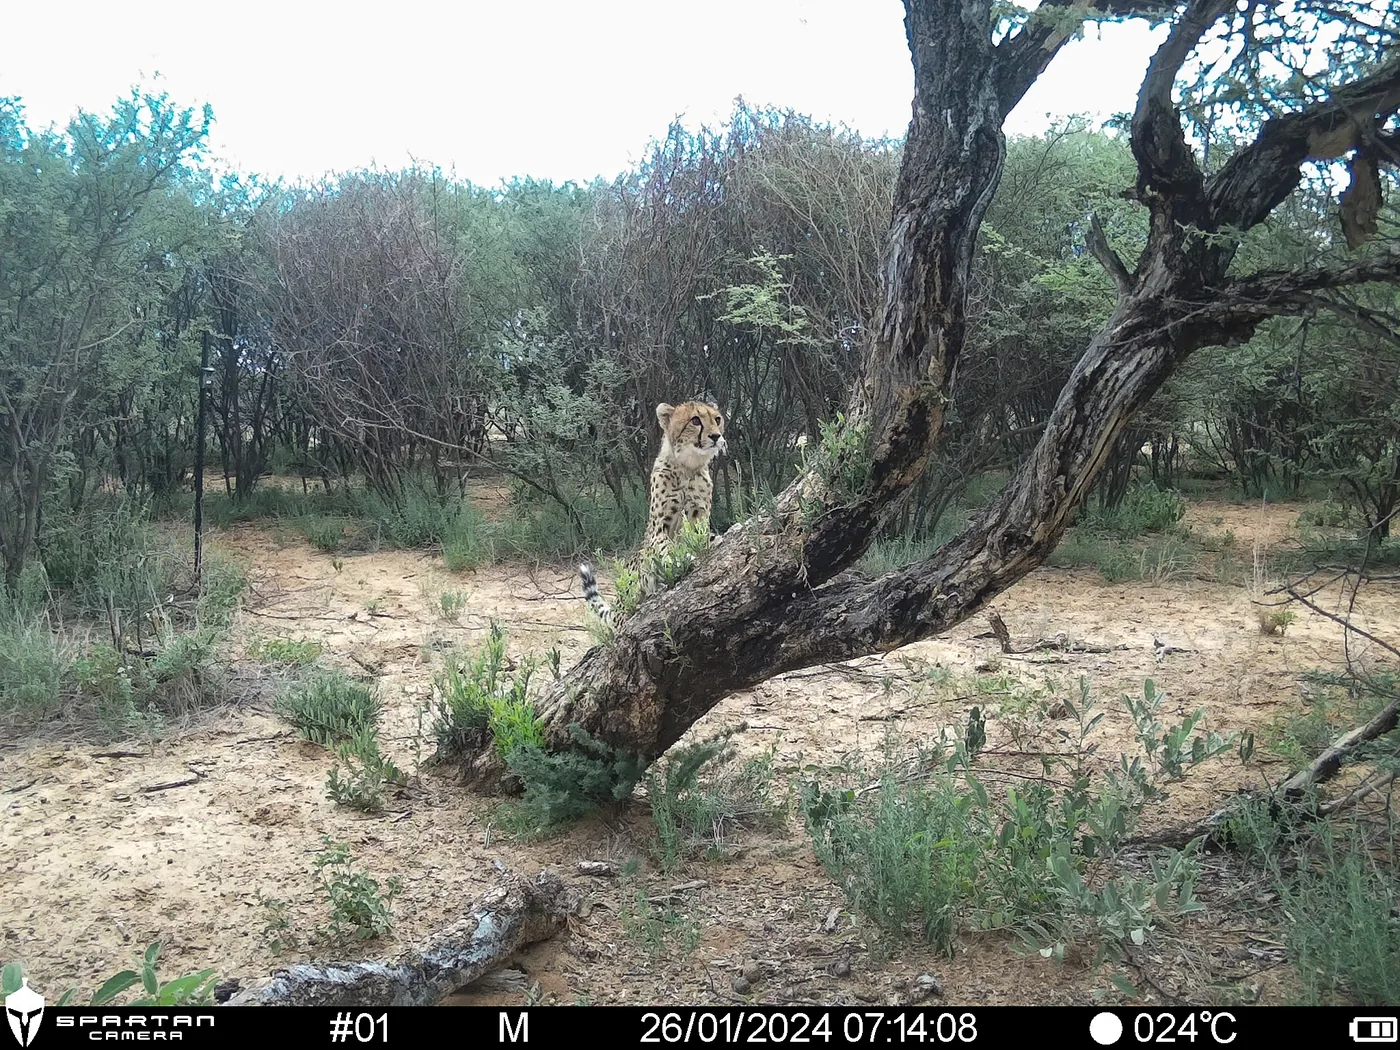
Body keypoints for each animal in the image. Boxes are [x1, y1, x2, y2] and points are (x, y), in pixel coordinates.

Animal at [580, 400, 727, 629]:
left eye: (717, 419)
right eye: (695, 420)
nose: (716, 436)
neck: (687, 466)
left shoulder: (698, 519)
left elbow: (704, 536)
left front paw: (718, 538)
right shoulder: (660, 527)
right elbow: (665, 547)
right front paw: (679, 559)